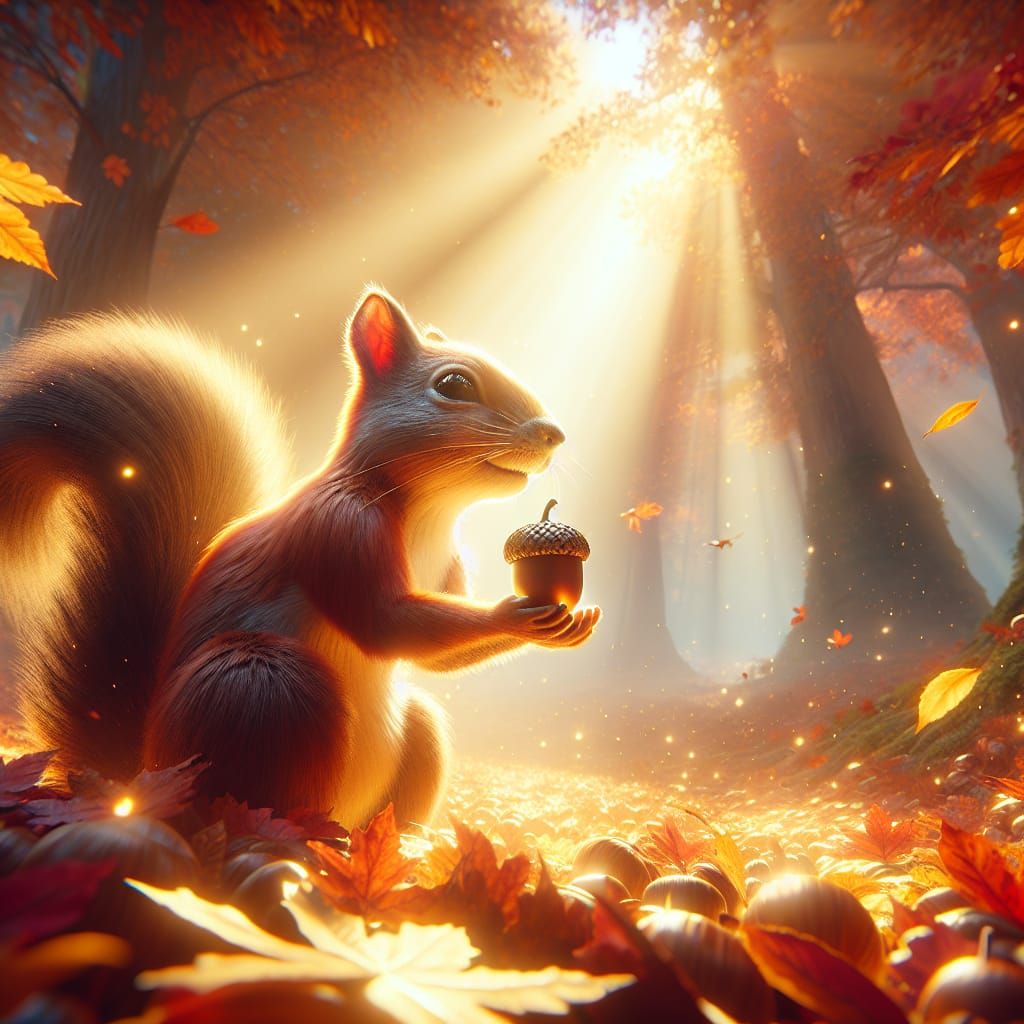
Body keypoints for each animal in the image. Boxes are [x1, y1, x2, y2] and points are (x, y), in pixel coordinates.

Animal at [0, 288, 599, 826]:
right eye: (454, 385)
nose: (553, 434)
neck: (429, 511)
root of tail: (143, 772)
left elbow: (435, 660)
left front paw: (570, 621)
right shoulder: (335, 529)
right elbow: (385, 622)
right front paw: (514, 613)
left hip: (411, 736)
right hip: (266, 693)